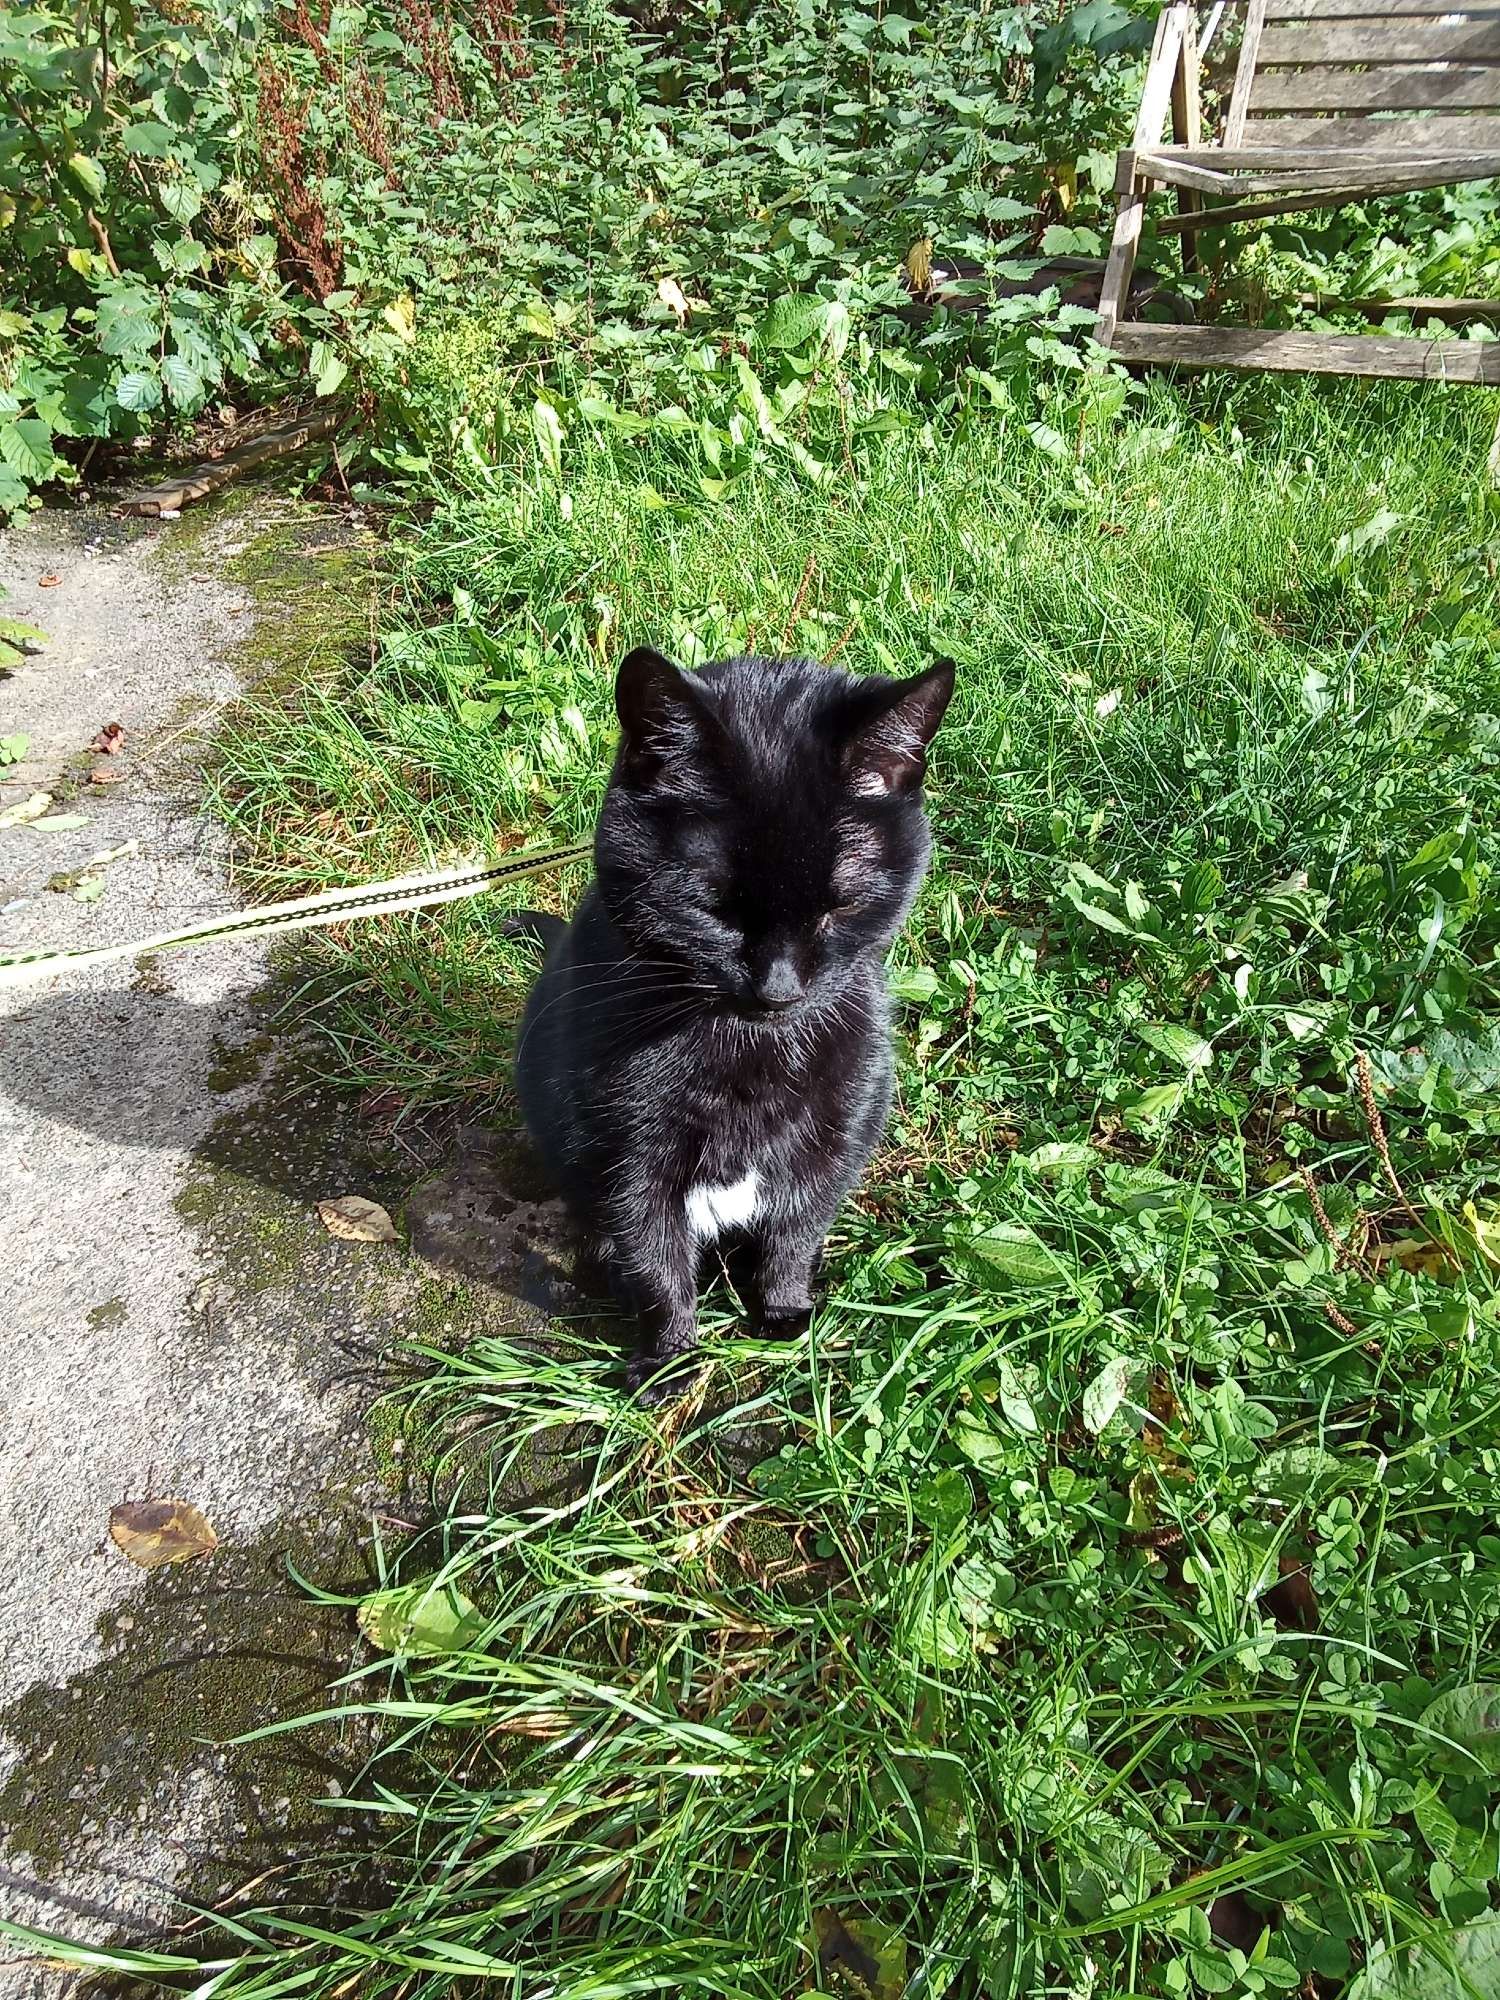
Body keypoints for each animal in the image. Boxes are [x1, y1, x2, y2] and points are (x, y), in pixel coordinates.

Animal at [516, 644, 956, 1392]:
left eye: (838, 906)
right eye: (715, 908)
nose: (779, 989)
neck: (747, 1054)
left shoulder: (837, 1130)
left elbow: (794, 1233)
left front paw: (784, 1316)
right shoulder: (626, 1153)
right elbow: (655, 1258)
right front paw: (667, 1360)